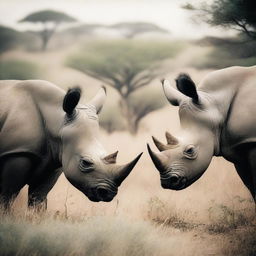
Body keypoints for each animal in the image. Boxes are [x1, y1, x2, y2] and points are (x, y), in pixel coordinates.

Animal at [0, 80, 142, 210]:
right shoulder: (18, 151)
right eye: (85, 162)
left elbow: (38, 197)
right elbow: (7, 197)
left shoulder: (54, 159)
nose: (107, 194)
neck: (57, 120)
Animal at [147, 66, 256, 200]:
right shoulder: (239, 145)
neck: (216, 103)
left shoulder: (251, 141)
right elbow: (251, 186)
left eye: (190, 150)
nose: (167, 182)